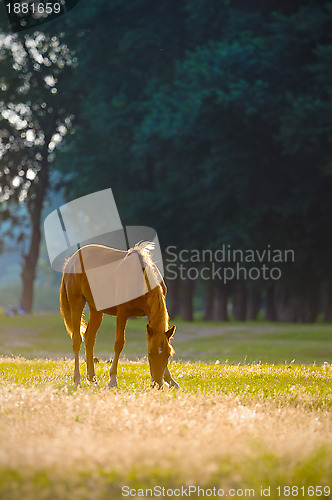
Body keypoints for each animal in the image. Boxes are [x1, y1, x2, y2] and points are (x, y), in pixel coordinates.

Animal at [59, 242, 179, 390]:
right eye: (149, 354)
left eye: (168, 355)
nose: (157, 384)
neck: (140, 278)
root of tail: (71, 261)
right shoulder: (122, 313)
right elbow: (119, 344)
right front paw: (112, 380)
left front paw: (171, 380)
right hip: (77, 303)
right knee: (77, 339)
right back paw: (77, 380)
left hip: (96, 310)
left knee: (89, 338)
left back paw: (92, 378)